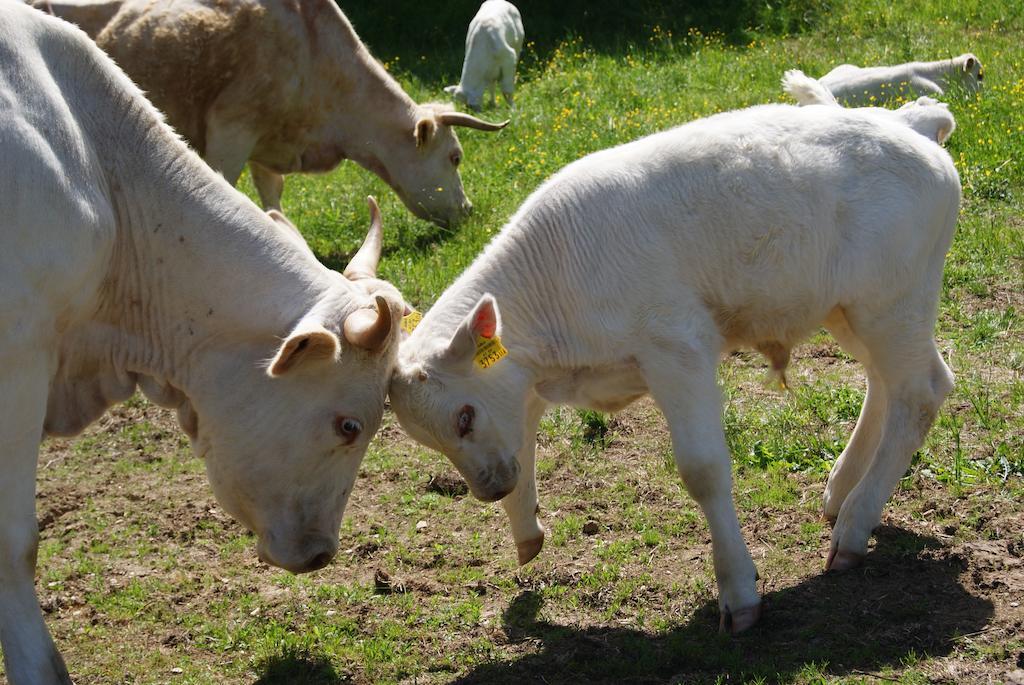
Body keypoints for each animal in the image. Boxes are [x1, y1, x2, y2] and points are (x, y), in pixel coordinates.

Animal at [387, 100, 962, 630]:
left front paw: (739, 594)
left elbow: (702, 470)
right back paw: (842, 493)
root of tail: (909, 124)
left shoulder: (678, 348)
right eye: (428, 441)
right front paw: (526, 534)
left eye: (464, 417)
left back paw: (853, 527)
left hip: (891, 303)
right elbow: (523, 447)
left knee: (922, 391)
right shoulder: (521, 388)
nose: (489, 490)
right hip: (852, 311)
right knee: (885, 383)